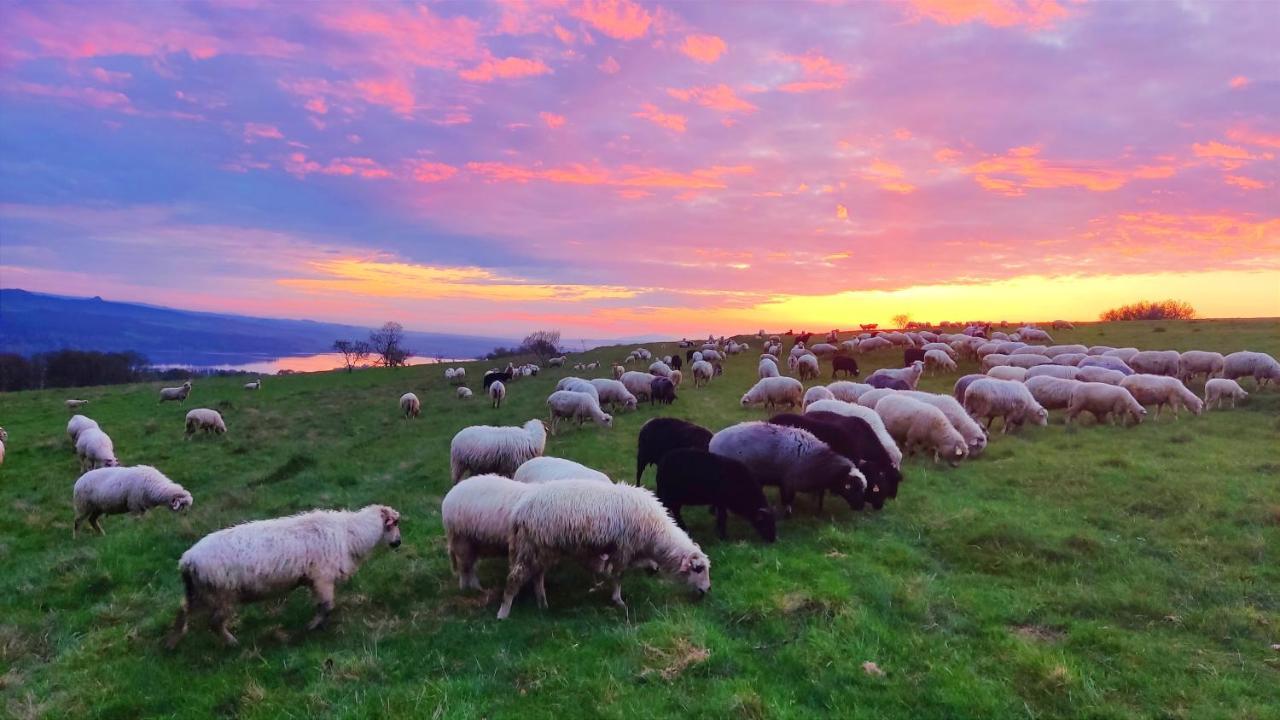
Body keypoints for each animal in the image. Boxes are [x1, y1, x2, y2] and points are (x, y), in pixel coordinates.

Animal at [167, 499, 399, 645]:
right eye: (394, 523)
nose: (398, 543)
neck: (351, 534)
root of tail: (187, 560)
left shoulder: (314, 580)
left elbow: (322, 605)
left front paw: (318, 624)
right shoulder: (322, 577)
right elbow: (326, 605)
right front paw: (313, 626)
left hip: (200, 591)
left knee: (183, 609)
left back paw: (172, 642)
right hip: (222, 593)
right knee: (214, 623)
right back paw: (232, 642)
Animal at [494, 476, 711, 617]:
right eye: (698, 569)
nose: (707, 590)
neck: (656, 532)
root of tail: (519, 509)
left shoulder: (626, 549)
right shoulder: (624, 548)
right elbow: (618, 575)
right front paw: (618, 600)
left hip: (543, 548)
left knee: (537, 575)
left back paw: (543, 604)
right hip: (531, 546)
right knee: (515, 577)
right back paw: (503, 613)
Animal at [706, 420, 865, 515]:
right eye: (853, 488)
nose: (860, 507)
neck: (817, 460)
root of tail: (713, 440)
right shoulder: (788, 481)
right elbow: (788, 500)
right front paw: (788, 514)